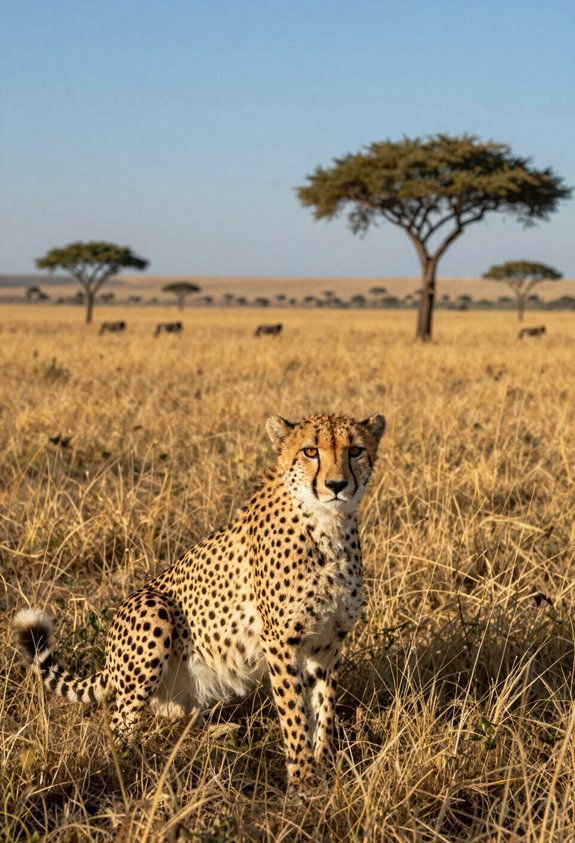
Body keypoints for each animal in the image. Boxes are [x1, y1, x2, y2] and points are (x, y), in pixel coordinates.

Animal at [15, 411, 385, 792]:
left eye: (355, 450)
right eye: (310, 451)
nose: (337, 485)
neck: (328, 526)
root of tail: (109, 661)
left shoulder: (328, 639)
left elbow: (323, 705)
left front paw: (326, 765)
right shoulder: (280, 640)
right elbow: (294, 711)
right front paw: (303, 778)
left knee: (178, 716)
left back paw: (219, 733)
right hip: (155, 612)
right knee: (120, 722)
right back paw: (130, 763)